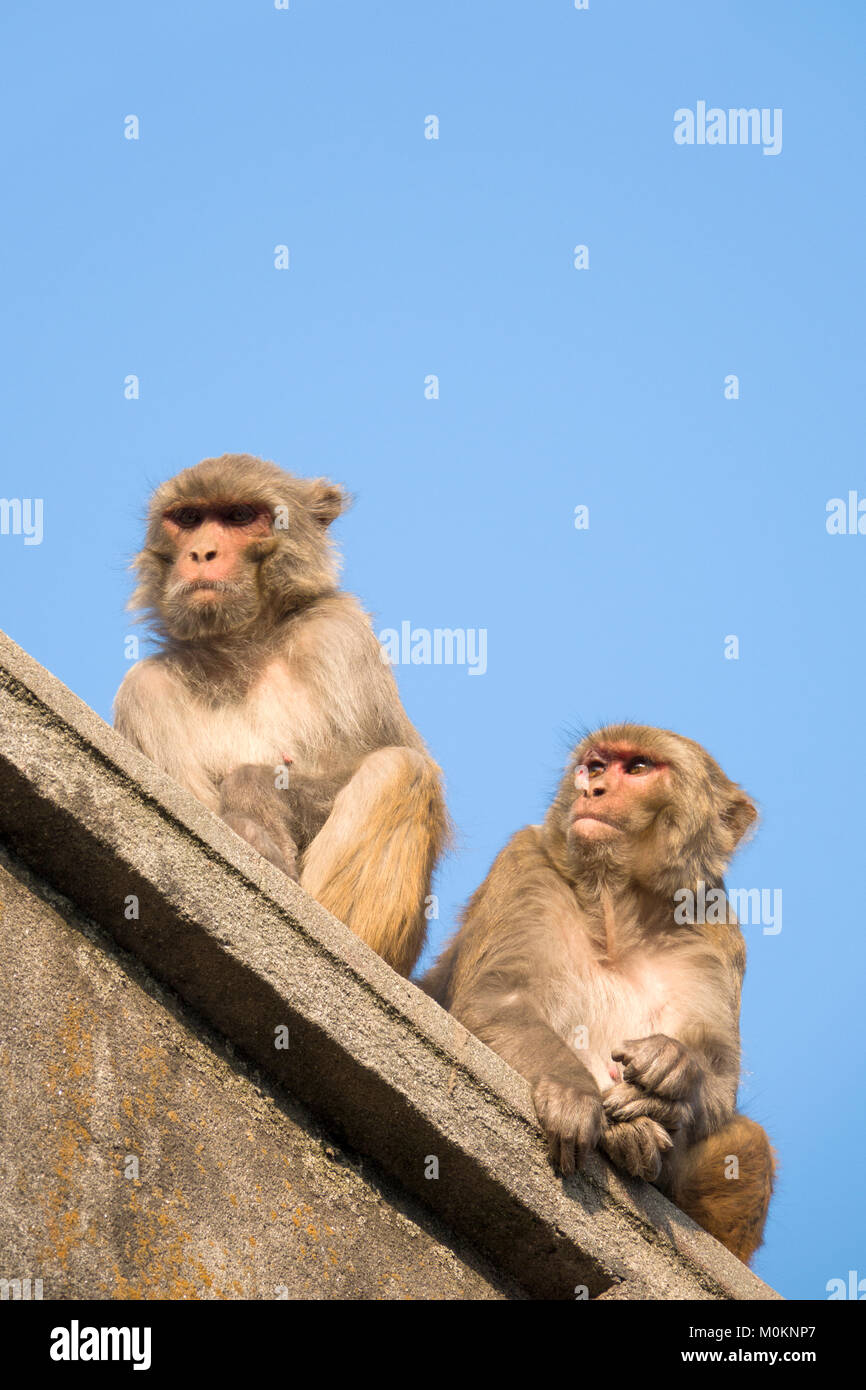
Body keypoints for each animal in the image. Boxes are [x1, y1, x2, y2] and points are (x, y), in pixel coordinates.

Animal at [114, 452, 448, 976]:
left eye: (239, 517)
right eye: (189, 519)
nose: (202, 553)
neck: (244, 650)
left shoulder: (338, 635)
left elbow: (389, 756)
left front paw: (253, 796)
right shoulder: (144, 692)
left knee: (400, 768)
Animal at [423, 724, 775, 1263]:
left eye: (638, 768)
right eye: (594, 765)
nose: (593, 789)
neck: (618, 914)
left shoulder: (717, 935)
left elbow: (718, 1078)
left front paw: (673, 1071)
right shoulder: (526, 863)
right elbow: (495, 1002)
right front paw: (578, 1096)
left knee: (750, 1147)